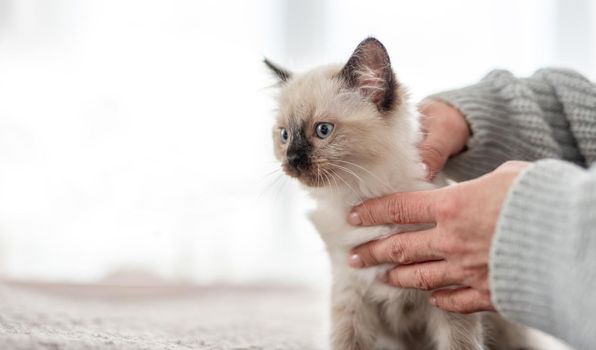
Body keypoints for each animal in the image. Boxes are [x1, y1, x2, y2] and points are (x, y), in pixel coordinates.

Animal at [266, 37, 532, 348]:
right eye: (284, 135)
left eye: (323, 130)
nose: (293, 160)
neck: (360, 193)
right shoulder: (350, 293)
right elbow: (346, 342)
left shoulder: (447, 295)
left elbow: (457, 343)